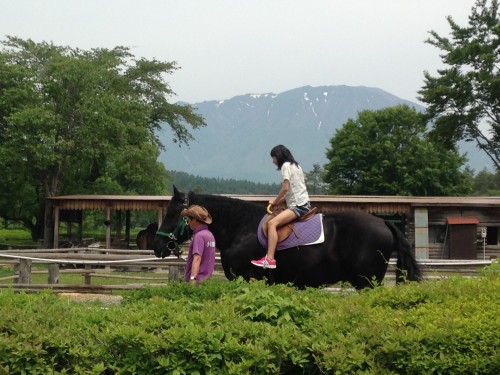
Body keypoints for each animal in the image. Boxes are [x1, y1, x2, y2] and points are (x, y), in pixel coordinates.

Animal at [153, 188, 422, 290]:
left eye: (173, 212)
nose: (157, 246)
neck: (241, 227)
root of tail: (383, 222)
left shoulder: (249, 279)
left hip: (367, 282)